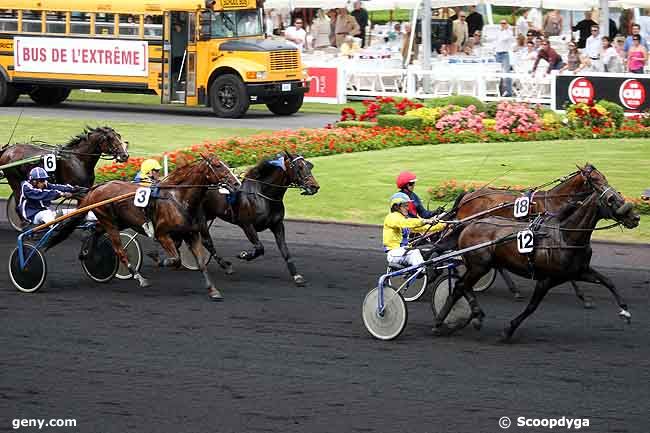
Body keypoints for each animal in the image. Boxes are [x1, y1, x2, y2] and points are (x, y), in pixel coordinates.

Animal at [48, 155, 239, 300]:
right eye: (217, 166)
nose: (236, 183)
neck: (179, 199)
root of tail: (96, 188)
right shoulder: (163, 235)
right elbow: (175, 259)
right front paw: (159, 259)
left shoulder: (192, 234)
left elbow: (201, 263)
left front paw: (213, 290)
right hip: (109, 222)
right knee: (119, 250)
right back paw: (139, 277)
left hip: (116, 221)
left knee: (95, 232)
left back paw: (87, 255)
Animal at [199, 150, 318, 286]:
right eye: (299, 167)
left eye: (309, 165)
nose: (314, 186)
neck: (262, 195)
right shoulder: (247, 225)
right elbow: (260, 247)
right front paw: (244, 255)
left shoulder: (277, 225)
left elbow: (285, 250)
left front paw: (296, 275)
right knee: (206, 241)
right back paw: (225, 265)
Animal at [432, 182, 640, 340]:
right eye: (611, 199)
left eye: (619, 194)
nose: (636, 217)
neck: (565, 235)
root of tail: (469, 224)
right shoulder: (546, 279)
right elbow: (532, 307)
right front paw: (508, 330)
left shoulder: (579, 271)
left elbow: (608, 281)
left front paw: (625, 312)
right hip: (479, 266)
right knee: (460, 286)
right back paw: (445, 321)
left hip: (481, 265)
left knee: (462, 286)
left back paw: (471, 316)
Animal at [448, 163, 612, 308]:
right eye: (595, 179)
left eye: (603, 176)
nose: (612, 195)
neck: (554, 201)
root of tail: (467, 196)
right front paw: (584, 297)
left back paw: (514, 289)